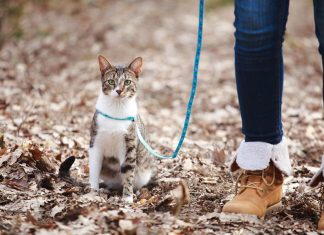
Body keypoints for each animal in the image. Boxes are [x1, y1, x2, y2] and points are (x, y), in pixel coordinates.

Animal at [88, 54, 155, 202]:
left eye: (128, 82)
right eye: (111, 81)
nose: (119, 90)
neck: (116, 109)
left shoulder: (128, 146)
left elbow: (128, 173)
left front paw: (127, 198)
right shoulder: (95, 142)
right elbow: (94, 168)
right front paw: (92, 192)